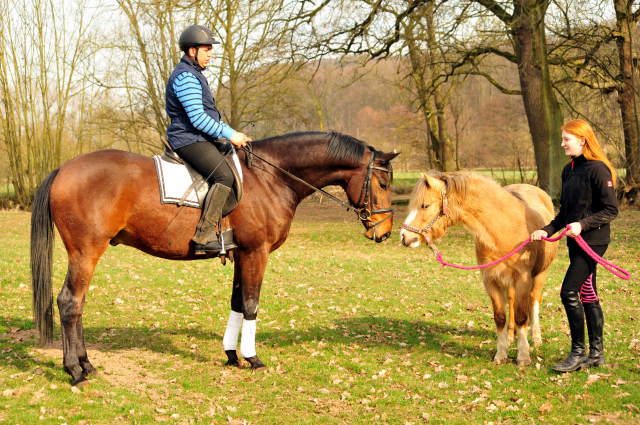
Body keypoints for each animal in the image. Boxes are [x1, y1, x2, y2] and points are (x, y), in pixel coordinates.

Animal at [33, 131, 400, 386]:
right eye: (383, 183)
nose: (385, 232)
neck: (270, 178)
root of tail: (63, 168)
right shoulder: (256, 252)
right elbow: (251, 304)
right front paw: (253, 358)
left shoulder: (240, 255)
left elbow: (237, 303)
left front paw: (232, 355)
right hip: (85, 252)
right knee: (69, 302)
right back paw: (75, 371)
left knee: (78, 304)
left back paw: (86, 364)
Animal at [400, 171, 556, 364]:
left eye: (425, 205)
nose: (404, 237)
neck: (503, 228)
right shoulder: (491, 280)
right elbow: (500, 317)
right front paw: (501, 353)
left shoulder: (523, 279)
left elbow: (522, 316)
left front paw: (523, 356)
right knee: (512, 301)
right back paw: (511, 336)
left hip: (540, 275)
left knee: (534, 300)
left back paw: (535, 338)